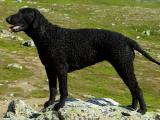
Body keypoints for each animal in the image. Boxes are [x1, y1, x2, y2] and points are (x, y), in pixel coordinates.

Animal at [6, 7, 160, 114]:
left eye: (22, 13)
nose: (7, 18)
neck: (47, 35)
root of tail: (127, 39)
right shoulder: (49, 69)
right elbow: (52, 89)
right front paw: (49, 103)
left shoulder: (61, 69)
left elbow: (63, 90)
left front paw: (59, 105)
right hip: (124, 67)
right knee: (132, 88)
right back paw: (132, 107)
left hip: (124, 66)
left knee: (137, 89)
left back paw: (142, 110)